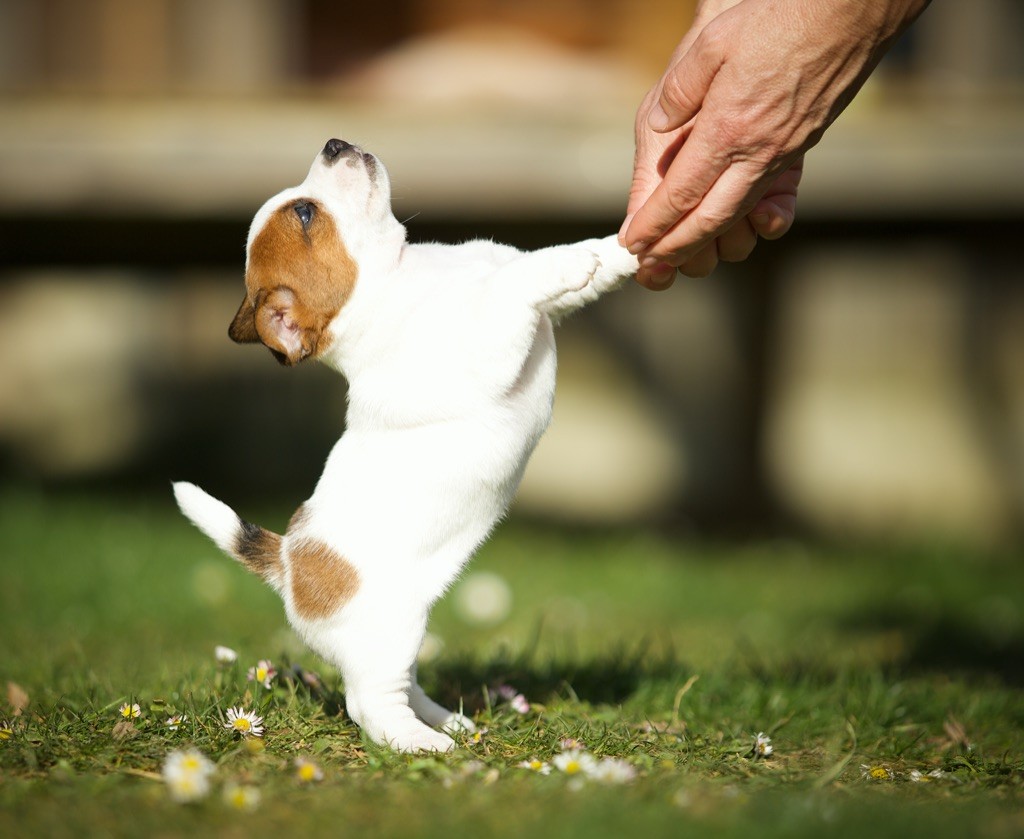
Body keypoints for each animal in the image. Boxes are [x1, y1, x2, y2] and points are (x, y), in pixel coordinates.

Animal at [176, 139, 638, 753]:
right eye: (305, 213)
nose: (334, 143)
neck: (403, 273)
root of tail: (287, 560)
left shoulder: (537, 307)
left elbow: (540, 265)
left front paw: (619, 249)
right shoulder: (486, 335)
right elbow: (516, 280)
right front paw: (570, 263)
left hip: (407, 635)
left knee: (407, 686)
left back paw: (447, 720)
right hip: (388, 637)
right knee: (369, 705)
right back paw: (422, 743)